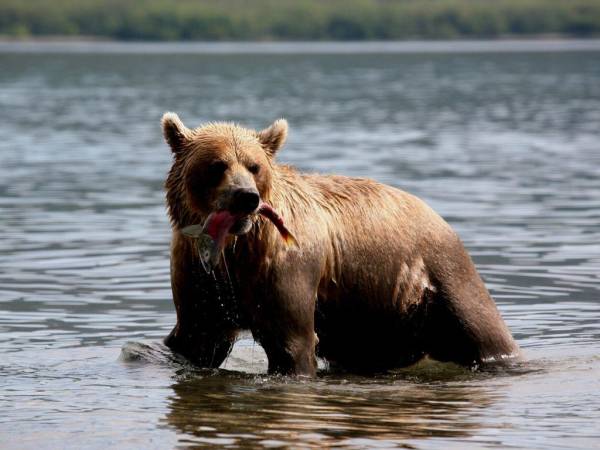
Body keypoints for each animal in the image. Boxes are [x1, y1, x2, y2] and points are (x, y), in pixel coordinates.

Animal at [161, 113, 520, 376]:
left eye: (254, 165)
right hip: (371, 315)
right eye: (217, 165)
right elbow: (196, 337)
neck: (235, 249)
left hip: (443, 274)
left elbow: (291, 342)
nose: (246, 197)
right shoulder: (201, 273)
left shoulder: (284, 267)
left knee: (483, 329)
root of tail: (439, 215)